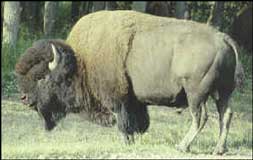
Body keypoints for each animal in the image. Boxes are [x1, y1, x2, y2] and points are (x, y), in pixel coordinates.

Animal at [15, 10, 243, 155]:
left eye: (42, 77)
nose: (24, 98)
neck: (80, 62)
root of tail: (223, 38)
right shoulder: (134, 101)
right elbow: (138, 122)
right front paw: (135, 140)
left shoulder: (119, 99)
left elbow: (123, 122)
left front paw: (126, 142)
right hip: (222, 92)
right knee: (226, 114)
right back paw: (219, 149)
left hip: (196, 93)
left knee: (200, 117)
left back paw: (182, 147)